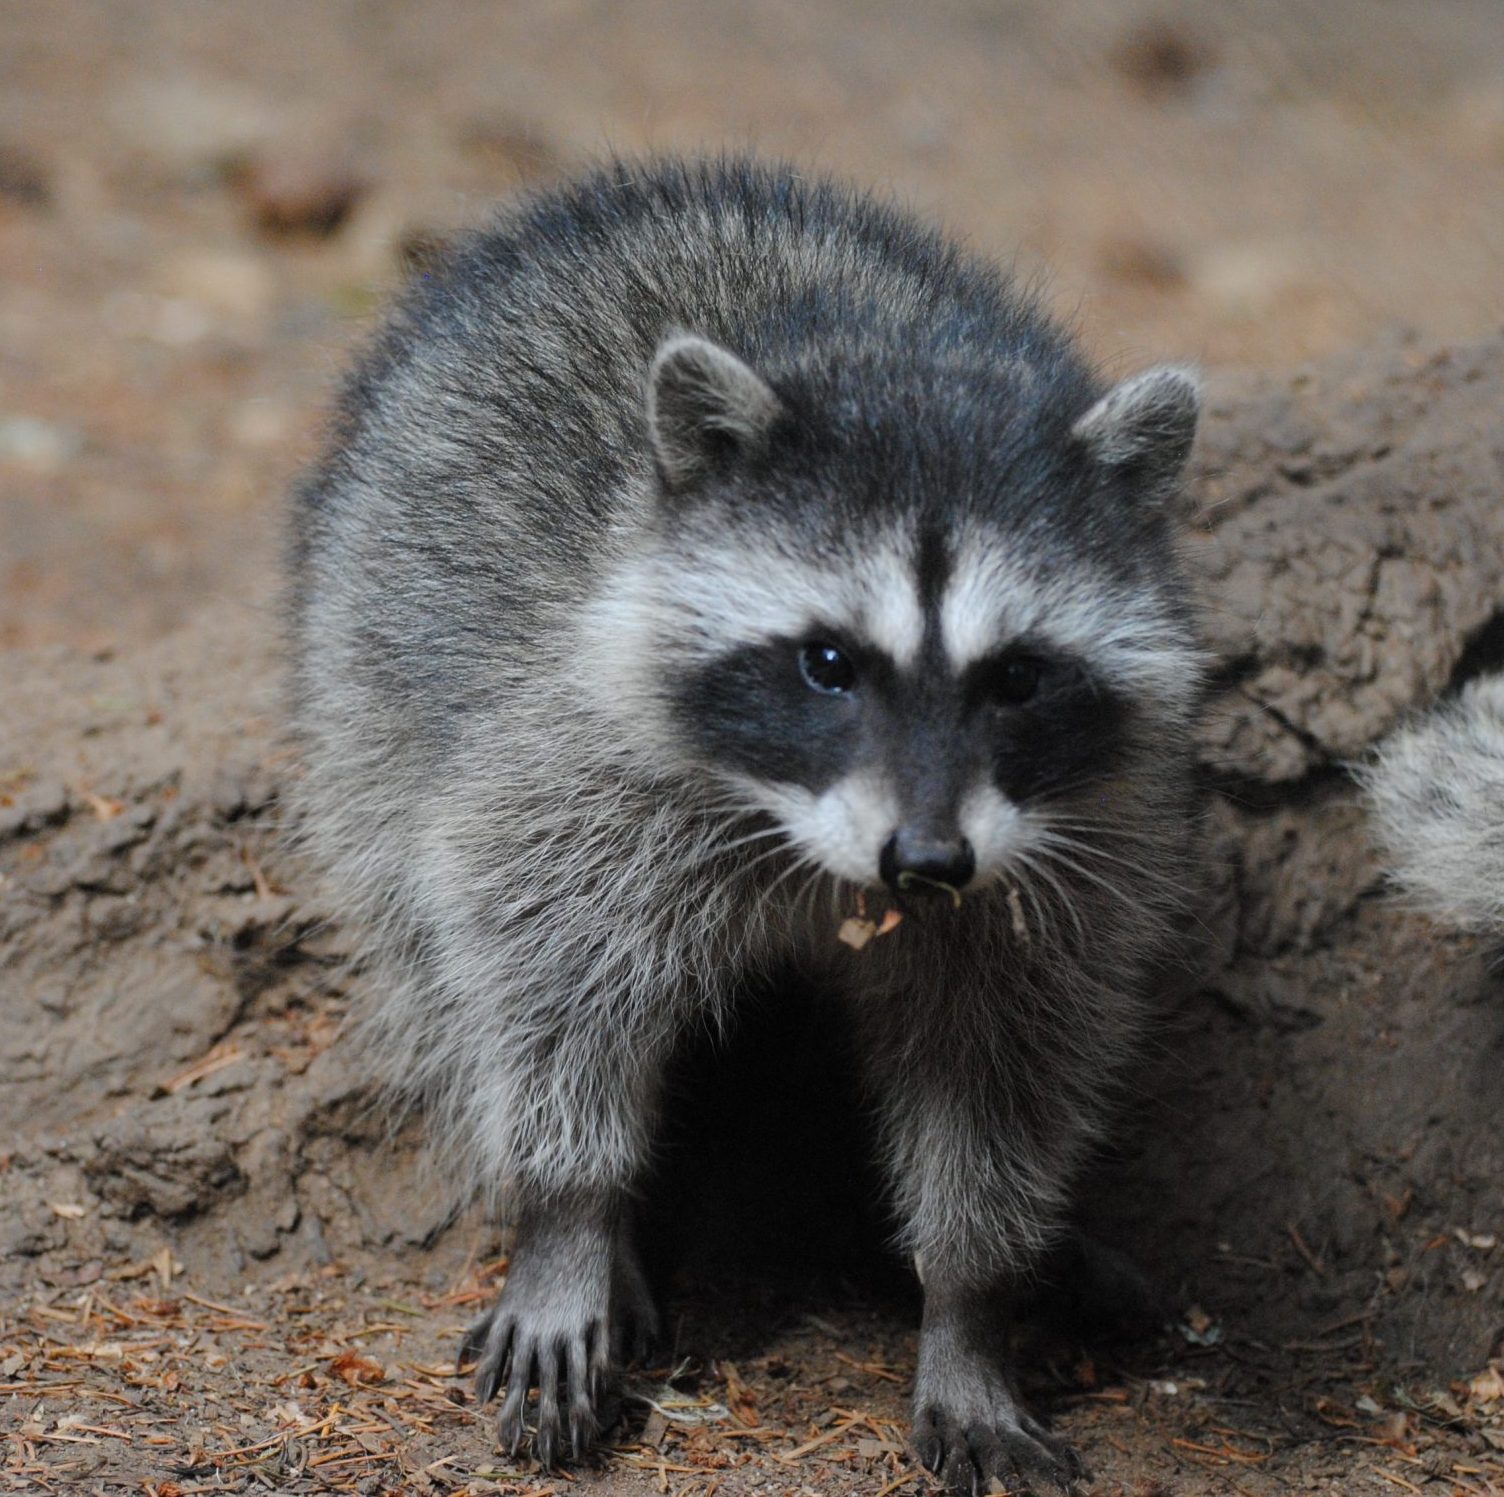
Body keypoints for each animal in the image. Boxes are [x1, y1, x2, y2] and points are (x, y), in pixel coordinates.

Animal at [290, 157, 1209, 1492]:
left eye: (1018, 679)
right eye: (827, 663)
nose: (927, 860)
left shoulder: (1072, 858)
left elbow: (1003, 1069)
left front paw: (970, 1301)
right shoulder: (574, 766)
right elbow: (540, 967)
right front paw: (572, 1219)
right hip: (364, 670)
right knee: (429, 936)